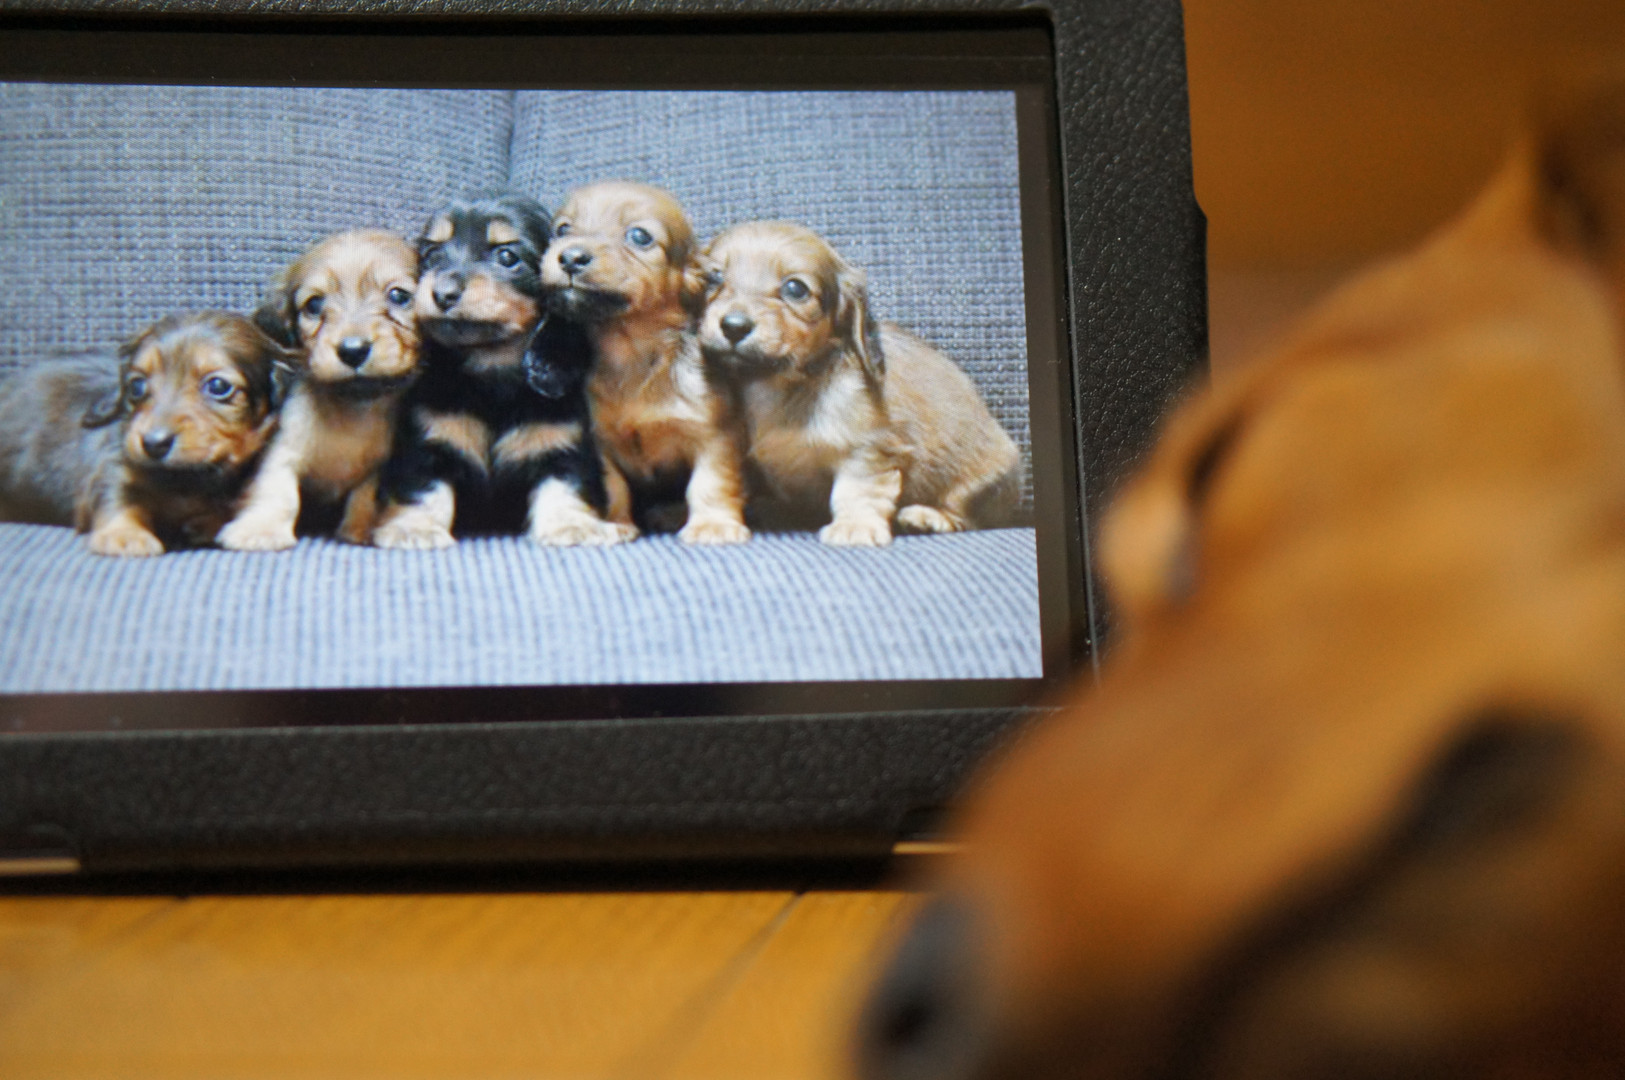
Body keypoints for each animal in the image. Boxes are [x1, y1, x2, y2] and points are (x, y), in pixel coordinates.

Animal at [0, 312, 292, 556]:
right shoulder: (114, 465)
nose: (153, 443)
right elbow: (118, 495)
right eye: (136, 385)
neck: (187, 478)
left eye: (218, 386)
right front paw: (124, 534)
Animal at [218, 229, 420, 549]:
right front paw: (261, 529)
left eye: (399, 296)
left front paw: (359, 530)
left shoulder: (377, 470)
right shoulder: (282, 450)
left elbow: (364, 498)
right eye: (313, 305)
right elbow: (277, 492)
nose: (352, 350)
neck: (352, 409)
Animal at [374, 192, 632, 549]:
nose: (441, 293)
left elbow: (563, 485)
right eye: (432, 254)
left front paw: (572, 525)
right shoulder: (427, 445)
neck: (491, 369)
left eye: (507, 255)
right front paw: (416, 529)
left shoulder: (562, 445)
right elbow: (425, 489)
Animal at [539, 180, 750, 544]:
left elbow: (710, 483)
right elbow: (614, 487)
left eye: (639, 236)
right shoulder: (602, 445)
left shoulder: (714, 436)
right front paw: (616, 523)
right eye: (562, 229)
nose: (569, 257)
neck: (632, 355)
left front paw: (713, 524)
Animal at [697, 221, 1020, 545]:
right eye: (713, 278)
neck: (776, 384)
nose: (734, 326)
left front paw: (855, 525)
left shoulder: (868, 450)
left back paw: (930, 517)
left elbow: (856, 491)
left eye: (795, 288)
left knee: (967, 517)